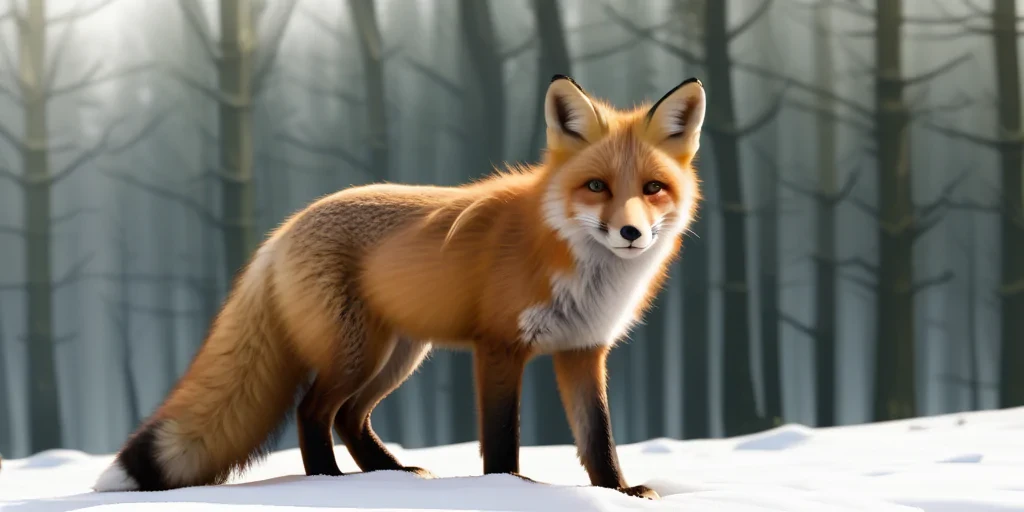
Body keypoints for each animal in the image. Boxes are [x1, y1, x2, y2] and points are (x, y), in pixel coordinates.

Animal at [92, 75, 706, 500]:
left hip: (398, 355)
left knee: (349, 417)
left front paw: (619, 492)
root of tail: (284, 229)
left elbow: (598, 437)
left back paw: (393, 478)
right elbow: (501, 437)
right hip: (357, 353)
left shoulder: (583, 350)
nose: (630, 233)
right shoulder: (499, 347)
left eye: (652, 188)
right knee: (313, 411)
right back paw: (331, 485)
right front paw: (507, 491)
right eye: (596, 186)